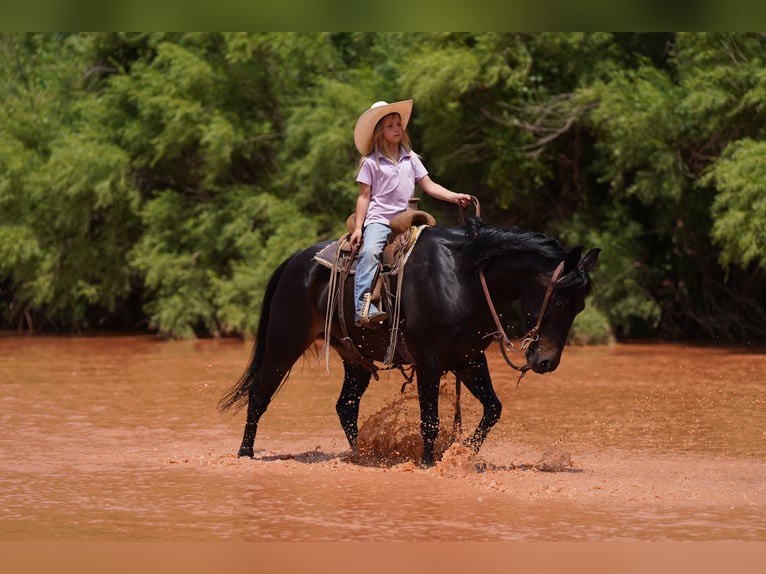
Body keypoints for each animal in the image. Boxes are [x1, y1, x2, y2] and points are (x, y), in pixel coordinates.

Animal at [219, 220, 604, 468]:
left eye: (579, 306)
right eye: (558, 301)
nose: (547, 362)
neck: (463, 278)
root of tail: (295, 261)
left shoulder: (468, 359)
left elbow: (493, 409)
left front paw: (465, 453)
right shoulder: (429, 361)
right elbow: (429, 418)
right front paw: (427, 463)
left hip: (355, 358)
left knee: (345, 406)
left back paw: (364, 456)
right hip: (284, 343)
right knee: (259, 396)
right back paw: (245, 453)